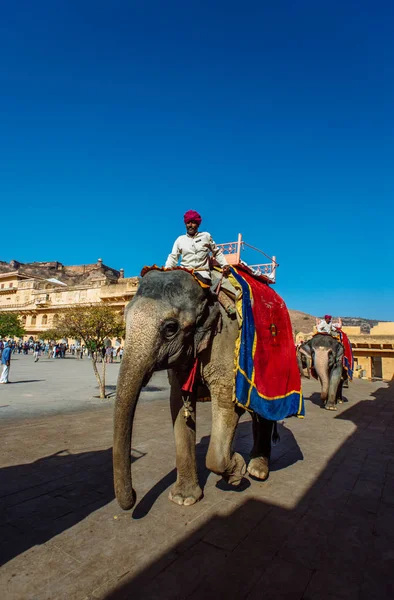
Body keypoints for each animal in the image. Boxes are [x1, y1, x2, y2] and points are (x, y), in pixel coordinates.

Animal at [112, 270, 276, 508]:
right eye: (124, 319)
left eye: (171, 328)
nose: (134, 494)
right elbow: (178, 405)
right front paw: (184, 499)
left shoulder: (226, 341)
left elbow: (226, 400)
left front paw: (237, 471)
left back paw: (257, 469)